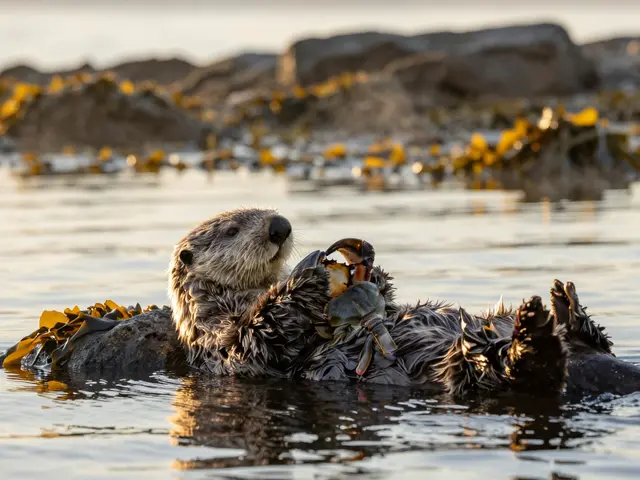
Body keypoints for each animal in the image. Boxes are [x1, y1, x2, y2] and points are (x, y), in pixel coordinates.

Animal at [3, 208, 640, 399]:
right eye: (232, 228)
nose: (281, 226)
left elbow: (383, 291)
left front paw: (362, 261)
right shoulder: (219, 346)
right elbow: (262, 333)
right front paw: (309, 273)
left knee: (587, 340)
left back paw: (562, 304)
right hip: (472, 370)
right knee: (524, 372)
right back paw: (537, 329)